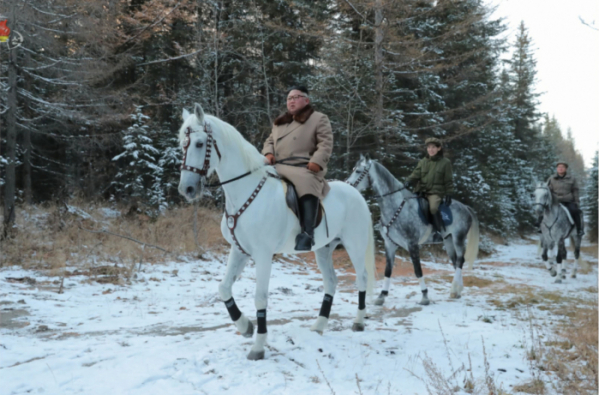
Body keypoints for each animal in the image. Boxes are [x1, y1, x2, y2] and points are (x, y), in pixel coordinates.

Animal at [178, 104, 376, 362]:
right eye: (182, 144)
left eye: (200, 143)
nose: (187, 189)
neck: (245, 192)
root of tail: (356, 194)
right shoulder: (239, 250)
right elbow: (224, 288)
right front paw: (245, 326)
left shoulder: (263, 255)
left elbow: (260, 297)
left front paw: (258, 346)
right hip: (324, 250)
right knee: (331, 283)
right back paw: (319, 325)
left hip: (355, 244)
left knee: (362, 277)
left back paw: (358, 322)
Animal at [344, 156, 480, 304]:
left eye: (358, 171)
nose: (347, 185)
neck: (395, 206)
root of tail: (465, 207)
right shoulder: (390, 244)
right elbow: (388, 270)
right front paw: (382, 296)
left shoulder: (412, 244)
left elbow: (418, 270)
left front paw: (425, 296)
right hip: (448, 241)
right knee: (456, 262)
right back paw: (457, 291)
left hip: (458, 239)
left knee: (460, 261)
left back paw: (455, 289)